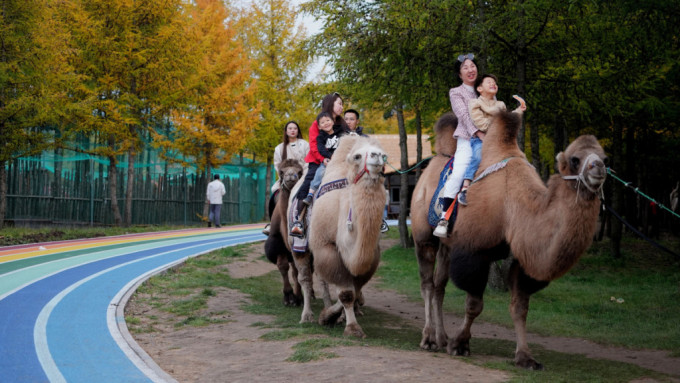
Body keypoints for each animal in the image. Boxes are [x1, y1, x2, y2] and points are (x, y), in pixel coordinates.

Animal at [264, 158, 304, 306]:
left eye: (300, 171)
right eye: (281, 172)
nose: (291, 176)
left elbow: (297, 270)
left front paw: (298, 297)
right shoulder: (277, 243)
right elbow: (283, 266)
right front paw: (289, 296)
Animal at [310, 135, 388, 340]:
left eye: (384, 155)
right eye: (357, 156)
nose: (378, 156)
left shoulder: (371, 254)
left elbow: (355, 289)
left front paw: (335, 316)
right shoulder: (327, 247)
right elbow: (346, 293)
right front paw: (348, 326)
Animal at [412, 110, 608, 368]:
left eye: (606, 156)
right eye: (576, 159)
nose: (599, 167)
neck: (513, 207)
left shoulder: (521, 258)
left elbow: (520, 307)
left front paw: (525, 357)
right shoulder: (475, 250)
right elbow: (475, 305)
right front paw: (460, 344)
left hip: (447, 245)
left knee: (439, 286)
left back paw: (441, 337)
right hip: (423, 236)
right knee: (426, 284)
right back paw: (428, 339)